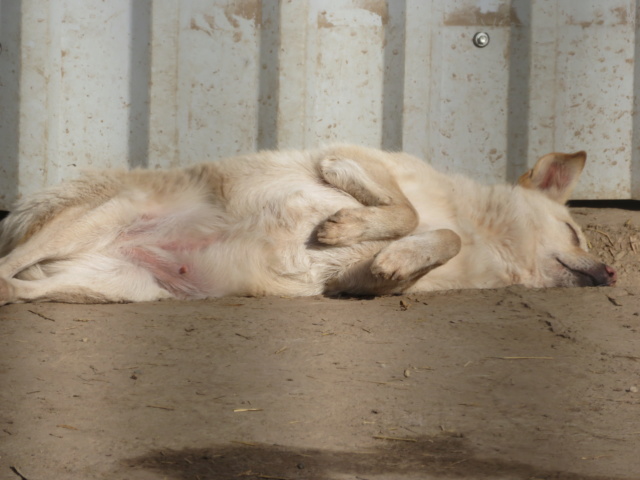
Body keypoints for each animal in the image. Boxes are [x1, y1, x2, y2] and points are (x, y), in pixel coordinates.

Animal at [0, 144, 616, 306]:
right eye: (576, 233)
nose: (612, 273)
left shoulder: (354, 287)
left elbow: (435, 238)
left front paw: (393, 259)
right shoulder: (356, 154)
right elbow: (414, 213)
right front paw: (344, 227)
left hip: (119, 288)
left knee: (17, 284)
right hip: (105, 215)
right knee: (8, 264)